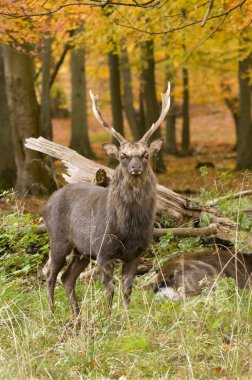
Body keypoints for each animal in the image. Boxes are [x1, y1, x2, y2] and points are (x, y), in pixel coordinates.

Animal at [42, 82, 170, 314]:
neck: (127, 228)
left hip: (82, 251)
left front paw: (126, 318)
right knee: (50, 274)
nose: (135, 167)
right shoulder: (102, 251)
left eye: (146, 154)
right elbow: (109, 291)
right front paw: (109, 317)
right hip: (58, 239)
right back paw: (52, 313)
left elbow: (127, 290)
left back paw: (77, 315)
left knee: (67, 277)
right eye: (122, 156)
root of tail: (45, 204)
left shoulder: (136, 253)